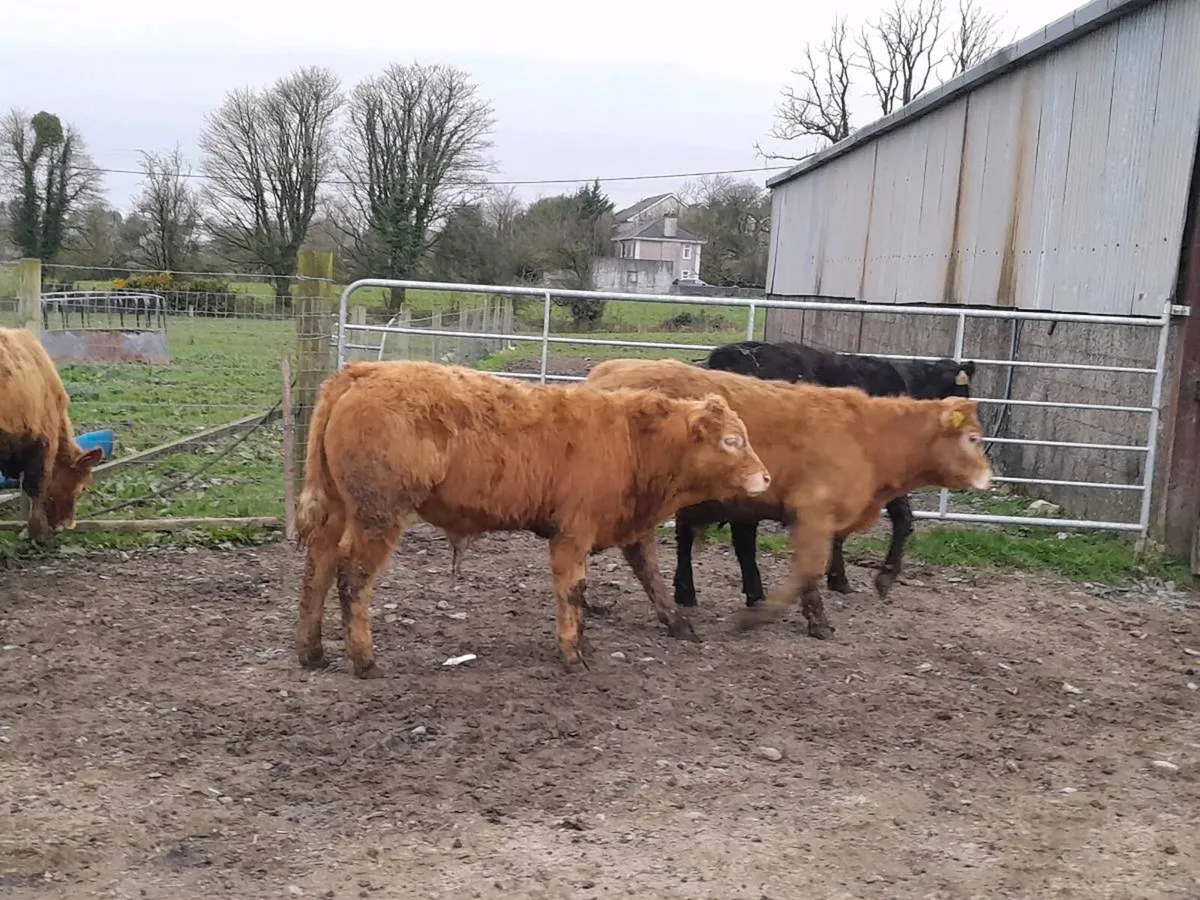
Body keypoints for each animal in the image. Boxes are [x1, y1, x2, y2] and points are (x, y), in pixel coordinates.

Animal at [294, 360, 771, 679]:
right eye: (732, 441)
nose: (766, 477)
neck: (633, 441)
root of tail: (363, 372)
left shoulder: (626, 529)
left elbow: (645, 578)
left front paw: (668, 625)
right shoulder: (572, 532)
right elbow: (572, 590)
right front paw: (573, 652)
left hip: (337, 510)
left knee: (317, 570)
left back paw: (312, 652)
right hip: (378, 515)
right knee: (352, 577)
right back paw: (364, 659)